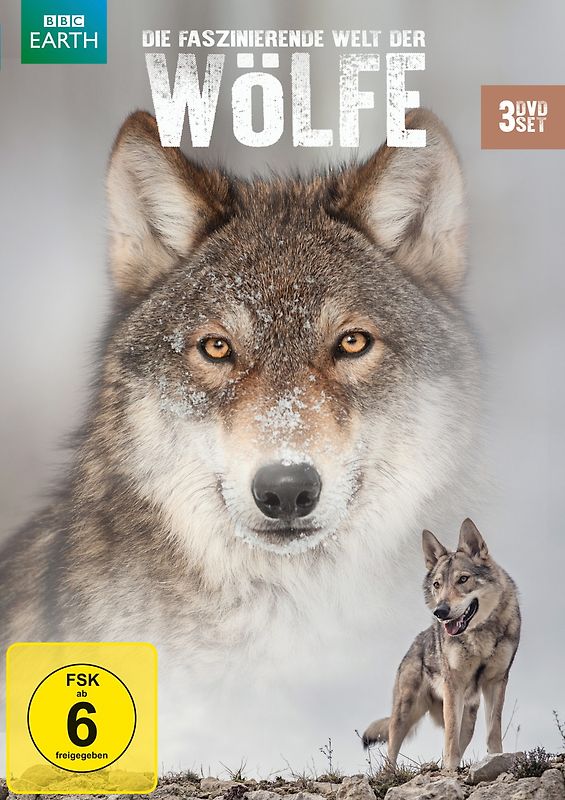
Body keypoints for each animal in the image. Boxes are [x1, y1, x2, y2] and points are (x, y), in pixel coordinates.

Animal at [362, 519, 521, 770]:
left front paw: (497, 760)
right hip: (405, 713)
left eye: (463, 579)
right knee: (391, 752)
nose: (440, 612)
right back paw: (390, 775)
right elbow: (451, 739)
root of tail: (414, 643)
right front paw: (450, 770)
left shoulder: (496, 682)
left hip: (468, 717)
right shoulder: (453, 684)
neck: (480, 637)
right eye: (437, 584)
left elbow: (493, 732)